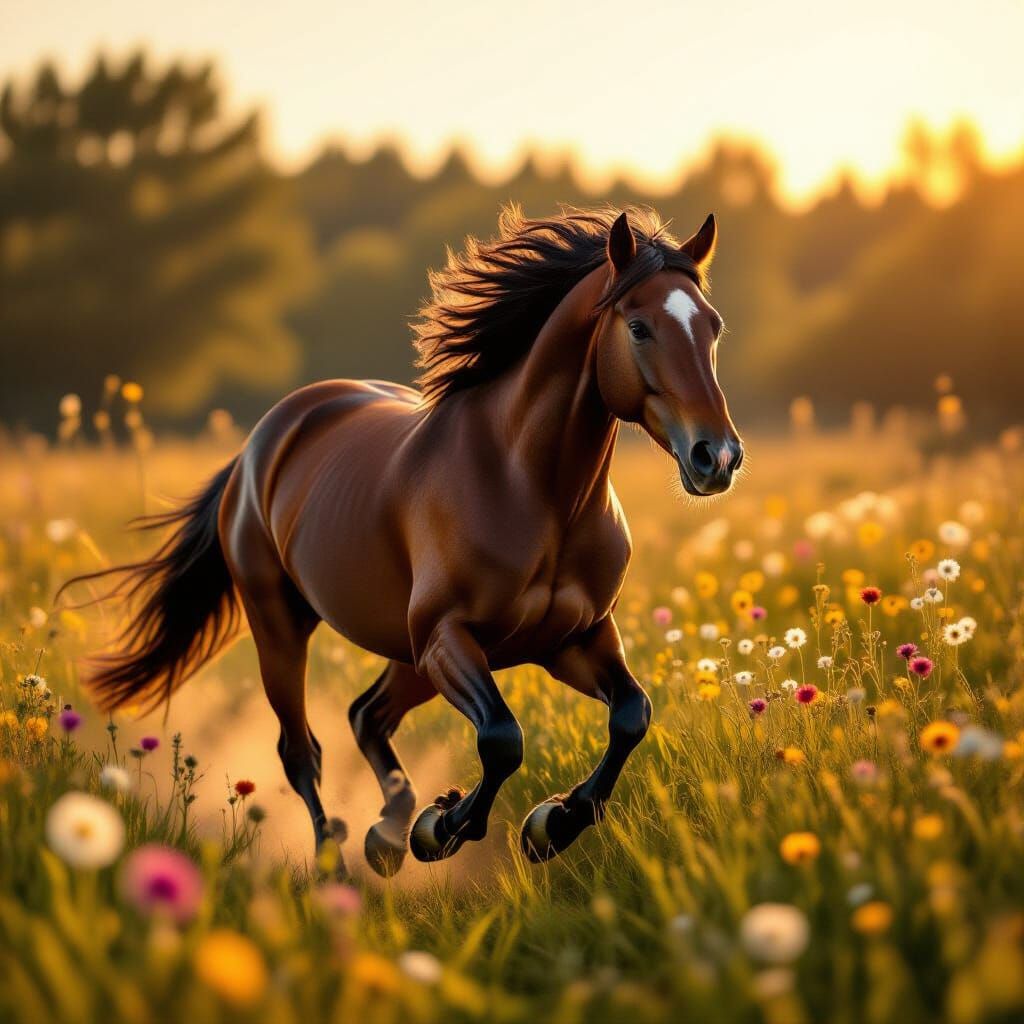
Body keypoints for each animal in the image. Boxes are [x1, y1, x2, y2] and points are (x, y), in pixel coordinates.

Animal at [63, 206, 743, 877]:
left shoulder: (574, 639)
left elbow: (631, 715)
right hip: (285, 627)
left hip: (407, 654)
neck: (532, 489)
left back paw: (385, 835)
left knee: (367, 715)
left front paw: (550, 825)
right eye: (639, 328)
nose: (717, 457)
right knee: (301, 750)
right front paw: (444, 826)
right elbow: (502, 739)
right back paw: (340, 867)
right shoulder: (449, 637)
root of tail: (263, 441)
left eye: (713, 327)